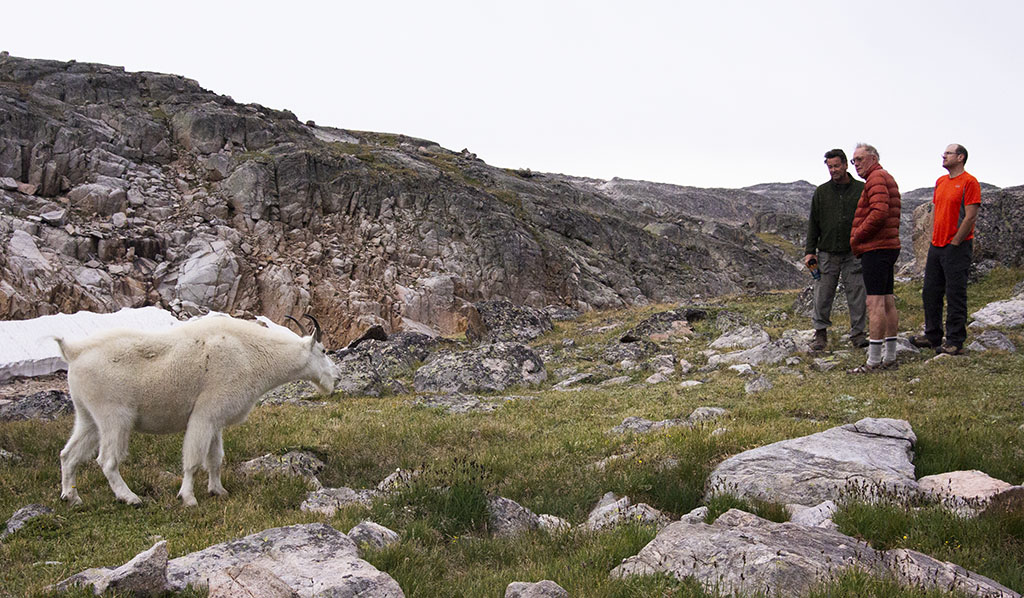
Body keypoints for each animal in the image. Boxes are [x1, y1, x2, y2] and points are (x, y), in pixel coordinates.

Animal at [54, 315, 335, 507]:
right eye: (323, 351)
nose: (336, 377)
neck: (250, 353)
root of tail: (73, 352)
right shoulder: (204, 415)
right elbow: (193, 459)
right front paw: (188, 497)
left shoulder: (216, 420)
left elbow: (215, 458)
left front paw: (218, 491)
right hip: (115, 417)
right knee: (108, 460)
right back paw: (130, 497)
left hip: (88, 417)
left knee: (69, 454)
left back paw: (71, 496)